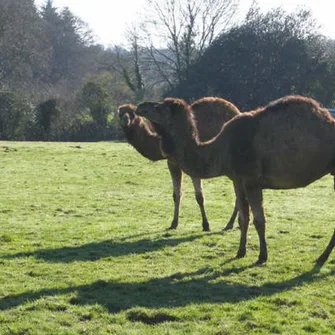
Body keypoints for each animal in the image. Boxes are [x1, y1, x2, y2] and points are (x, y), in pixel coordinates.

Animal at [118, 98, 242, 232]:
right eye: (120, 114)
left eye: (132, 114)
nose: (125, 120)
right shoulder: (172, 163)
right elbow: (176, 194)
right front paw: (174, 223)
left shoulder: (194, 165)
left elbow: (199, 196)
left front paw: (206, 225)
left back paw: (230, 223)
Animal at [136, 96, 335, 266]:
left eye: (160, 107)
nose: (140, 106)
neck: (222, 149)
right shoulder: (237, 180)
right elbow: (243, 218)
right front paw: (240, 252)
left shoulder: (251, 180)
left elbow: (259, 220)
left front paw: (262, 256)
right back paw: (322, 258)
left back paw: (321, 258)